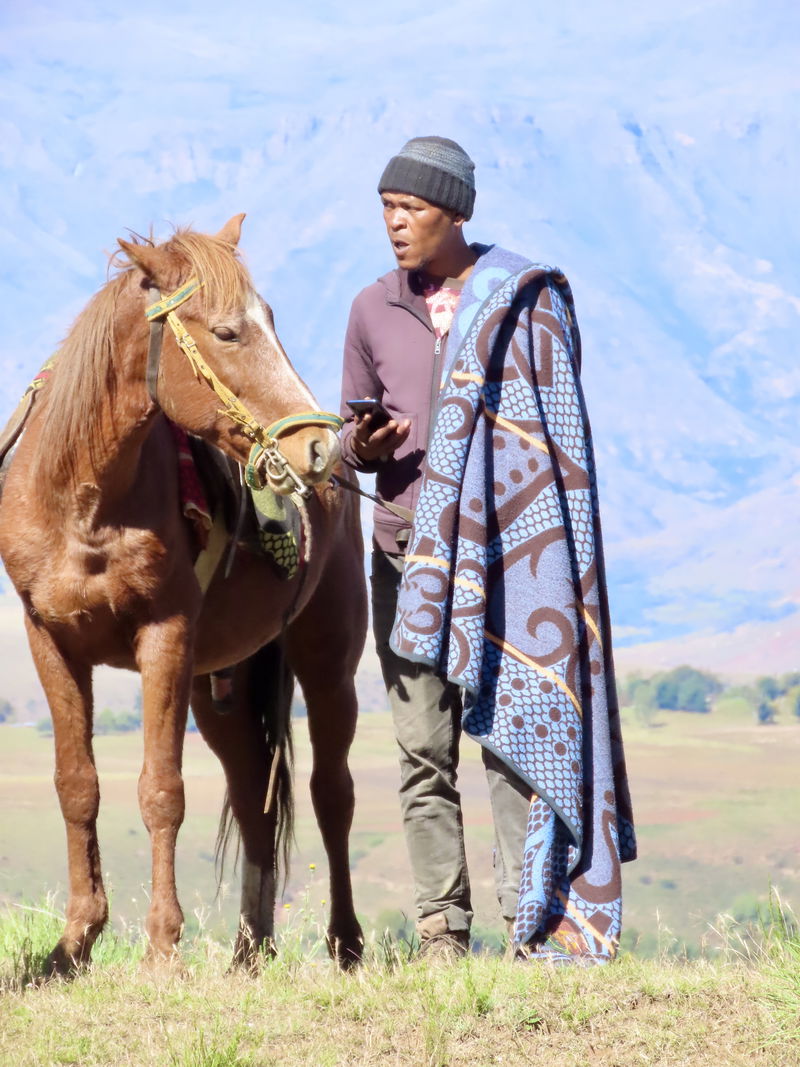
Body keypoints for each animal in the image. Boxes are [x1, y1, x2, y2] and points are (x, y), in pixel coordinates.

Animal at [0, 215, 367, 975]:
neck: (82, 496)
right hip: (221, 682)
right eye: (227, 332)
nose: (316, 448)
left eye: (271, 320)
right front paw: (74, 943)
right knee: (256, 802)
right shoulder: (49, 638)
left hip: (327, 665)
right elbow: (77, 784)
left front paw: (161, 947)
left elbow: (161, 790)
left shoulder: (163, 636)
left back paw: (345, 943)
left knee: (331, 793)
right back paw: (249, 952)